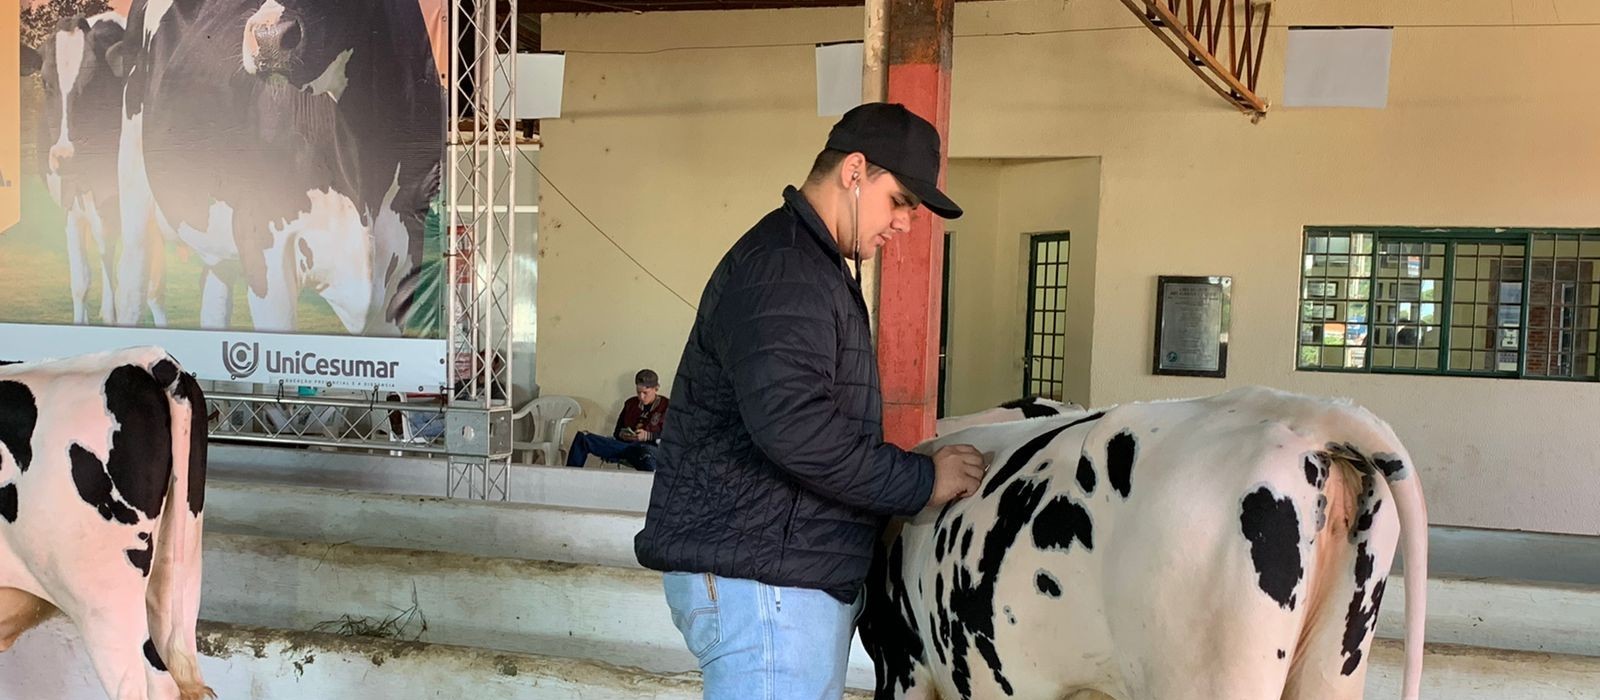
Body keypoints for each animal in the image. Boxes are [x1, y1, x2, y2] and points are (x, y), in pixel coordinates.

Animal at [21, 12, 168, 326]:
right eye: (46, 83)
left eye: (93, 83)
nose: (65, 157)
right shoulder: (71, 203)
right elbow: (81, 282)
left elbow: (152, 287)